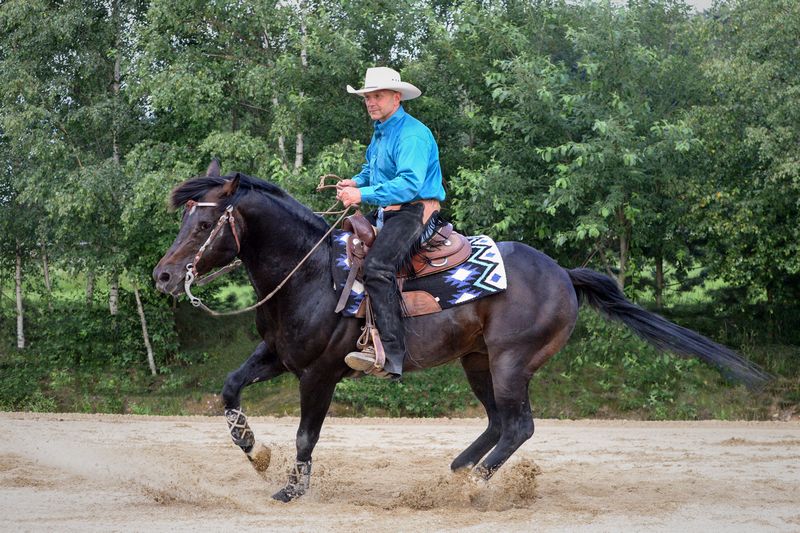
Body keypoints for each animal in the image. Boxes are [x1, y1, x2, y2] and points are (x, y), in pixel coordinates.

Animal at [153, 161, 772, 498]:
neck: (309, 271)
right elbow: (230, 388)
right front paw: (252, 450)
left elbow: (307, 435)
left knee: (519, 425)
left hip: (511, 361)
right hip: (478, 362)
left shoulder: (321, 373)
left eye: (204, 224)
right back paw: (457, 473)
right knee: (499, 422)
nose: (163, 275)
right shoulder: (279, 354)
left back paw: (473, 488)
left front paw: (290, 487)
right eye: (184, 218)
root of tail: (563, 274)